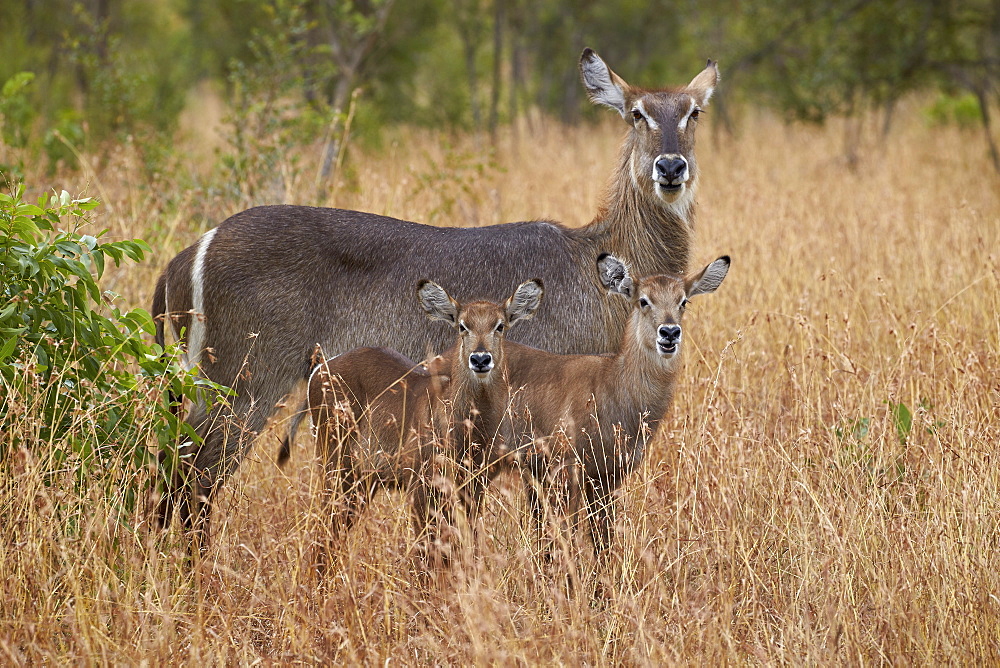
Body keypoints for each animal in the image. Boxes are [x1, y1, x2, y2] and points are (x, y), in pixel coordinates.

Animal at [310, 276, 544, 564]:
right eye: (462, 326)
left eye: (500, 325)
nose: (480, 359)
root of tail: (320, 368)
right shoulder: (420, 484)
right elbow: (427, 552)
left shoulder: (474, 487)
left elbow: (466, 545)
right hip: (336, 465)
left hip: (363, 479)